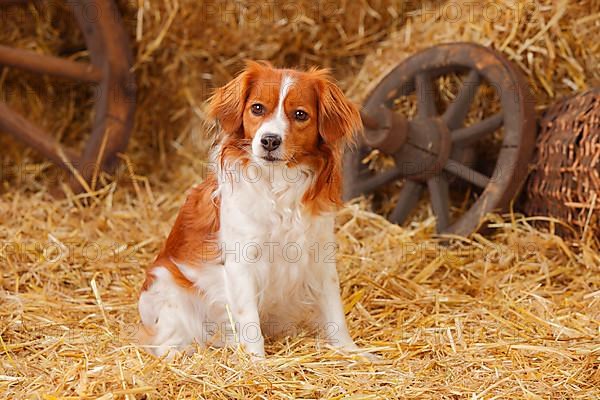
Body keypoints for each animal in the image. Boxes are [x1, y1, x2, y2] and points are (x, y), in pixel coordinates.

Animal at [139, 61, 366, 358]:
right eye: (257, 108)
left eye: (300, 114)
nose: (269, 140)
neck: (277, 184)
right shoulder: (242, 262)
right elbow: (249, 321)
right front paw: (257, 361)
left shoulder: (319, 255)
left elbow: (334, 310)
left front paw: (353, 352)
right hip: (170, 296)